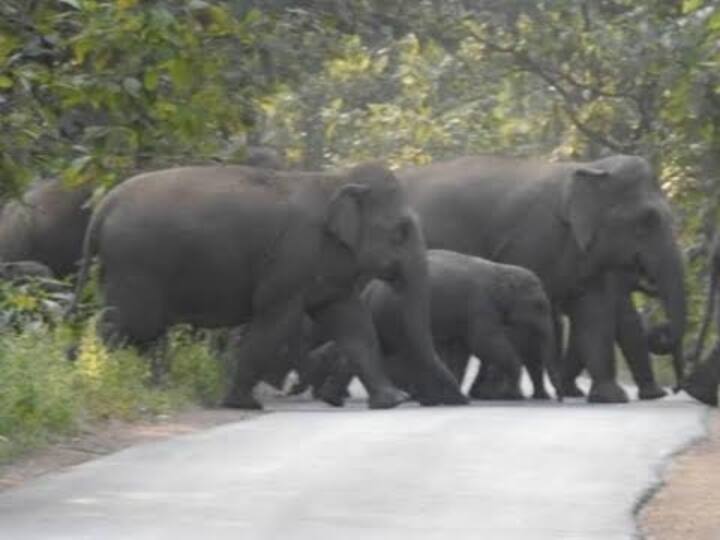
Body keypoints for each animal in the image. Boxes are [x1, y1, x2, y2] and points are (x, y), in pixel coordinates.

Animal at [70, 161, 464, 410]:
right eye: (401, 231)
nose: (459, 399)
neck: (334, 180)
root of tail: (105, 204)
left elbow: (353, 324)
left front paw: (389, 402)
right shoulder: (291, 259)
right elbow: (276, 322)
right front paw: (242, 403)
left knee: (138, 329)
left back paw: (146, 385)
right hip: (136, 264)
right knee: (127, 324)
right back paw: (107, 381)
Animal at [400, 154, 688, 402]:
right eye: (647, 220)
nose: (675, 389)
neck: (591, 168)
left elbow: (594, 314)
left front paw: (610, 398)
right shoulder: (530, 242)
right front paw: (503, 394)